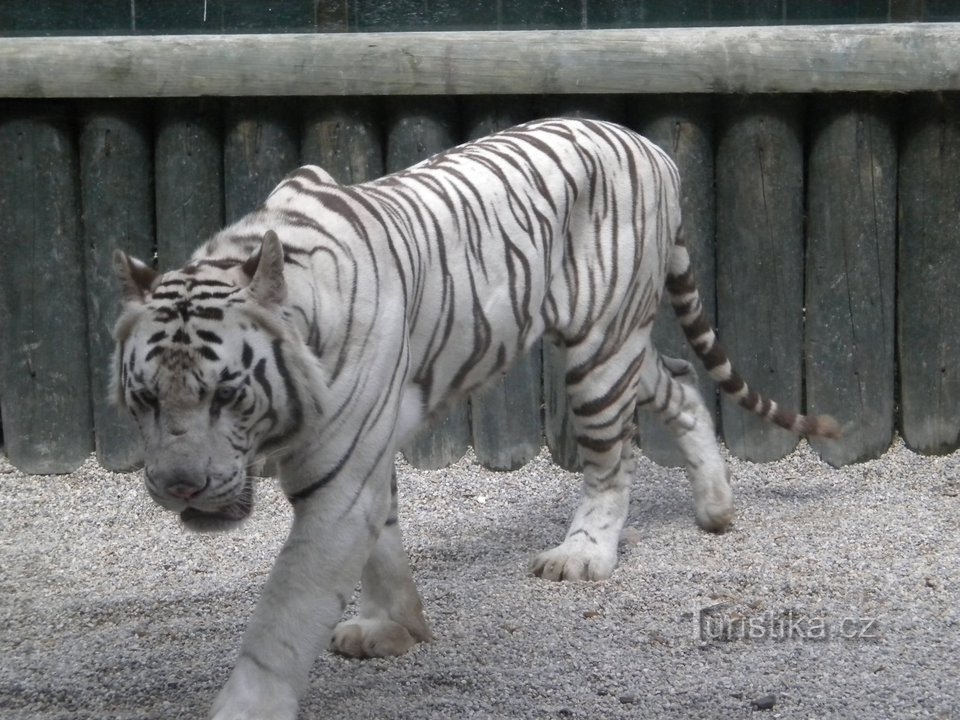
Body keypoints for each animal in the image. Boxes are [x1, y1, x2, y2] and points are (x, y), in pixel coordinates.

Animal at [112, 115, 840, 716]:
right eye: (146, 398)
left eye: (226, 395)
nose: (180, 487)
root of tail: (649, 145)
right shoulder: (364, 462)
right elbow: (383, 548)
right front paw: (398, 628)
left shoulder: (338, 479)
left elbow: (283, 614)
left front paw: (251, 701)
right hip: (621, 343)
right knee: (683, 382)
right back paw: (716, 509)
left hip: (598, 351)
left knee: (611, 463)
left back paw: (583, 554)